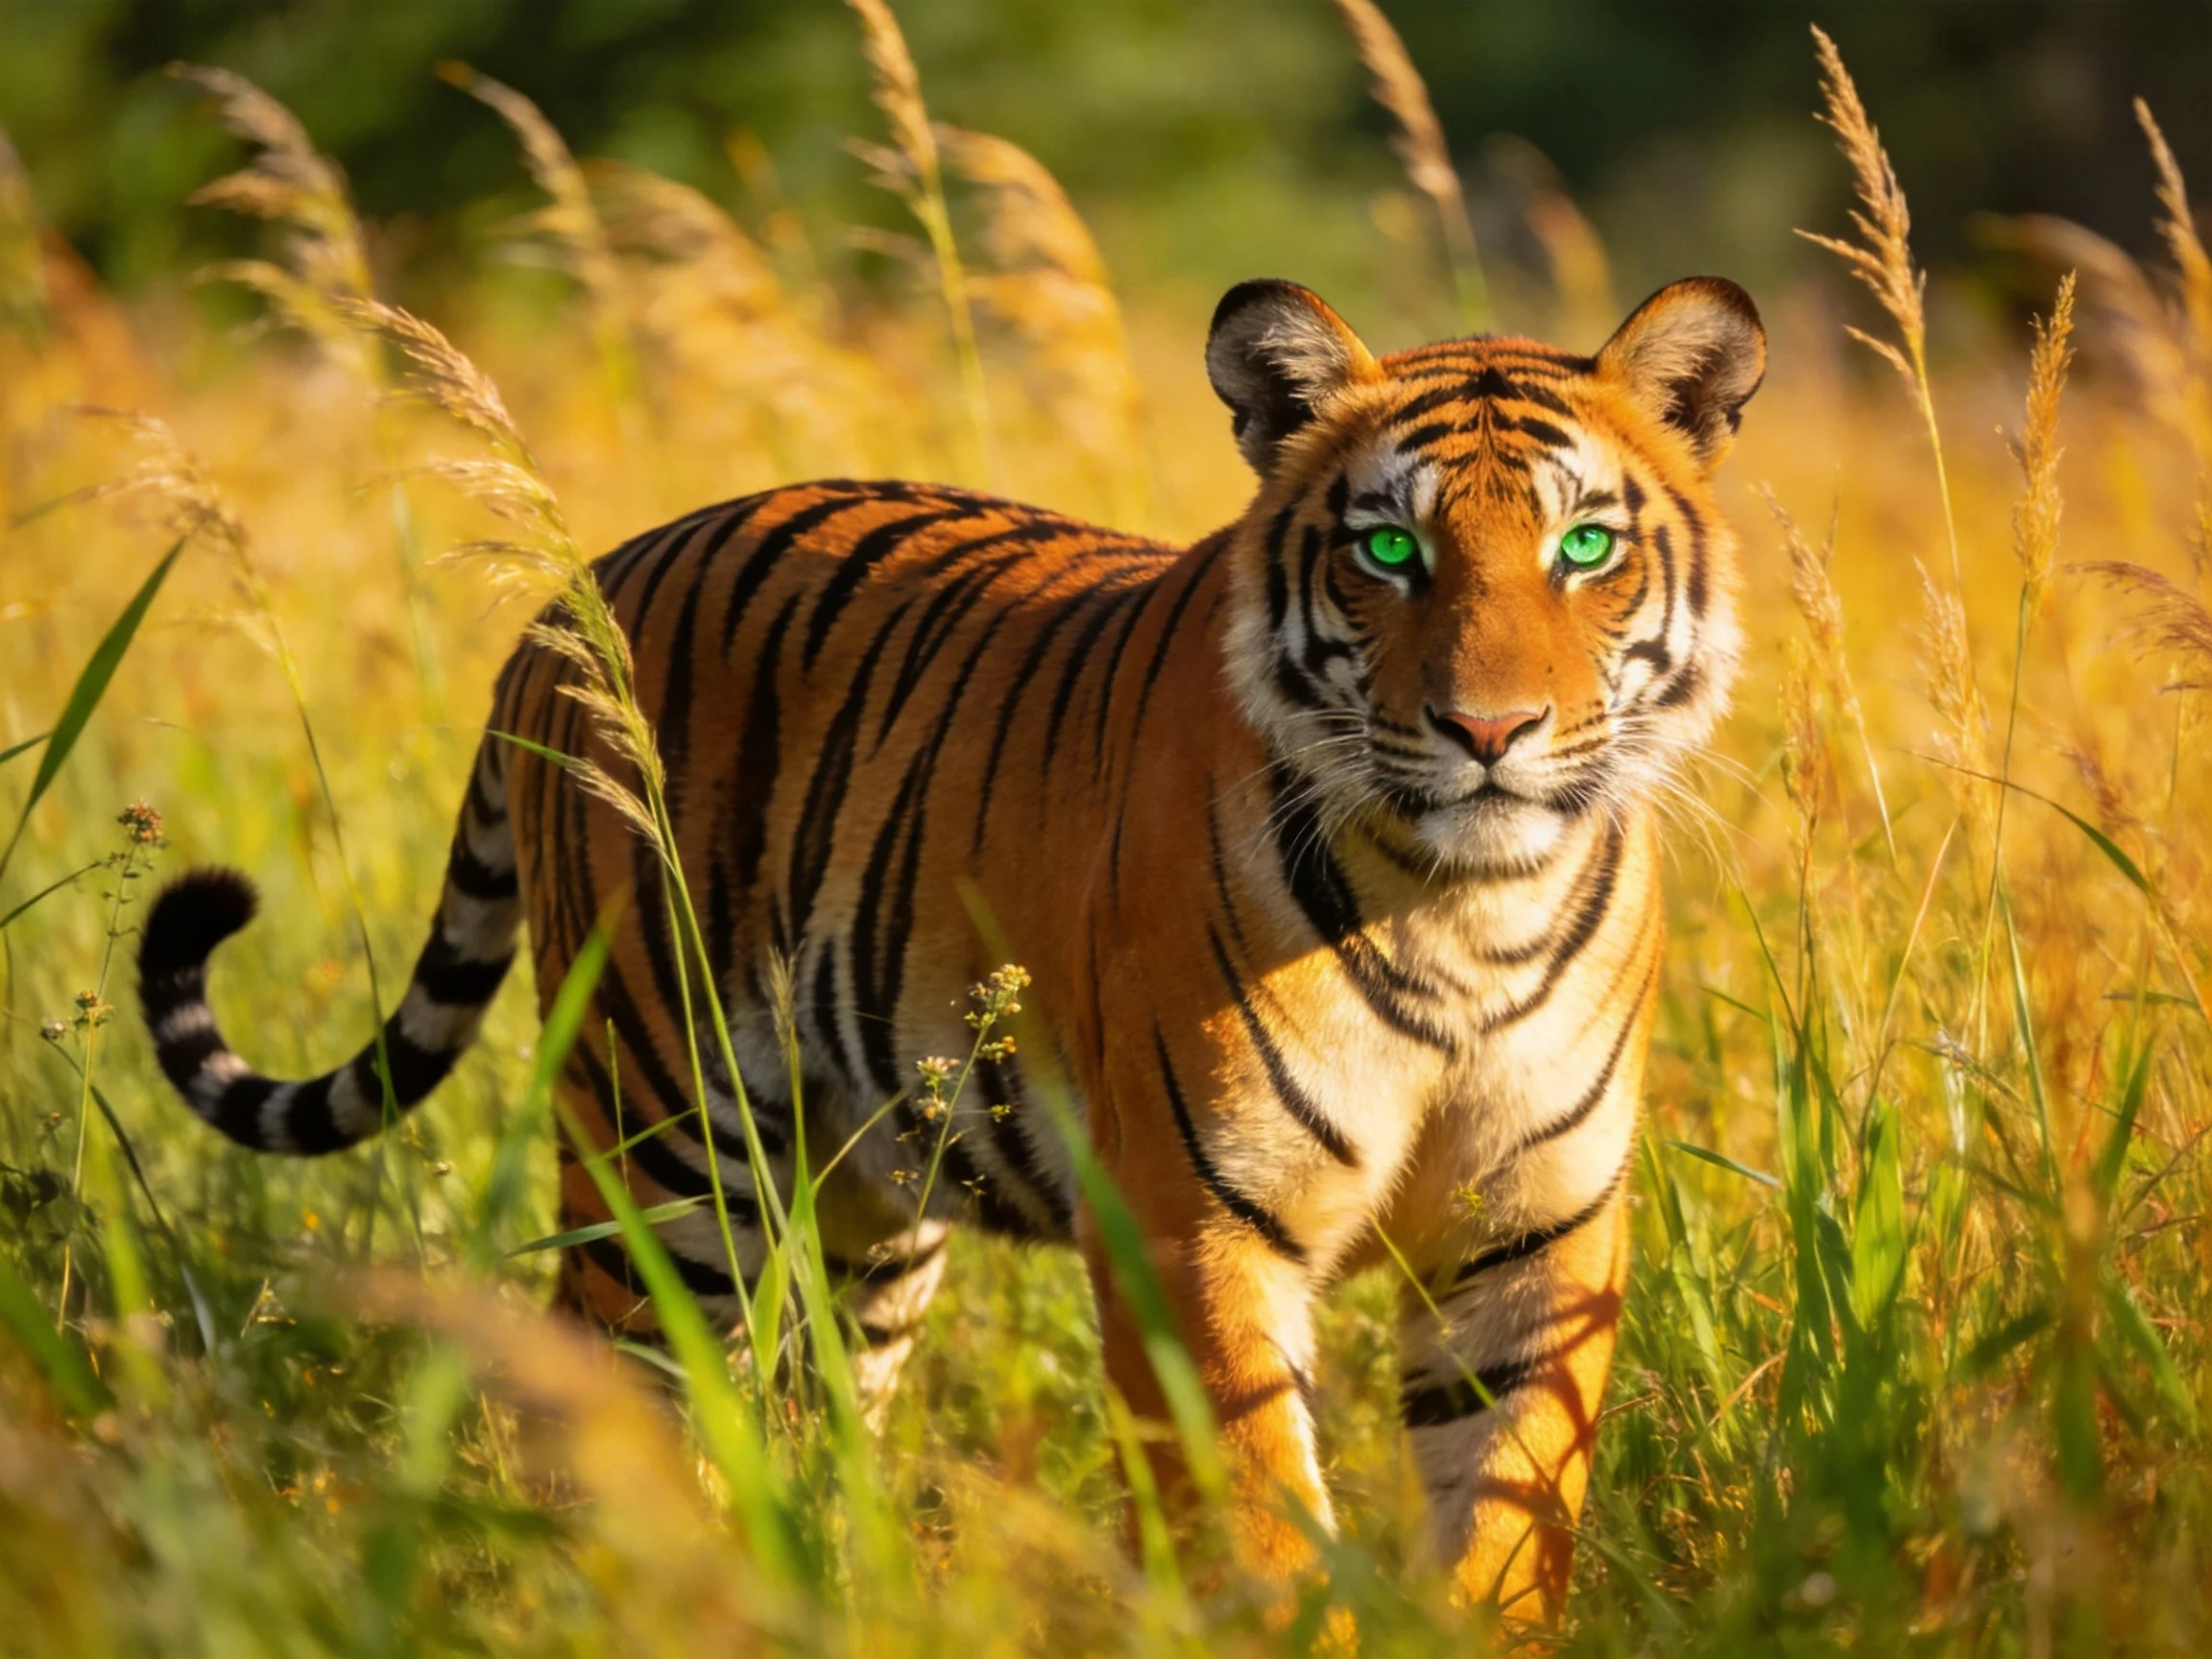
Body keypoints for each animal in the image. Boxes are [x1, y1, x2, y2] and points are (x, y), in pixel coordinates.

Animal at [137, 274, 1762, 1619]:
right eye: (1387, 548)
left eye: (1585, 546)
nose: (1492, 731)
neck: (1464, 909)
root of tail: (572, 586)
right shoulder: (1194, 1228)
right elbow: (1254, 1526)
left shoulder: (1539, 1237)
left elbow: (1507, 1525)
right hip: (659, 1134)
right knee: (614, 1392)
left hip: (871, 1192)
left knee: (813, 1404)